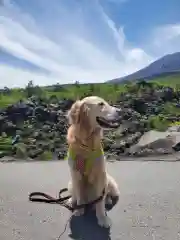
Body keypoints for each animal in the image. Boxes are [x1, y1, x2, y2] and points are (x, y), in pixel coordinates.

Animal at [65, 96, 119, 229]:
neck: (87, 143)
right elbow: (79, 196)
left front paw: (103, 219)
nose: (120, 111)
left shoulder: (100, 175)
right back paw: (71, 201)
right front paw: (79, 210)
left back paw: (107, 200)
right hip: (70, 182)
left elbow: (99, 201)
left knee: (106, 195)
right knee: (75, 194)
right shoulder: (76, 174)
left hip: (109, 180)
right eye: (101, 104)